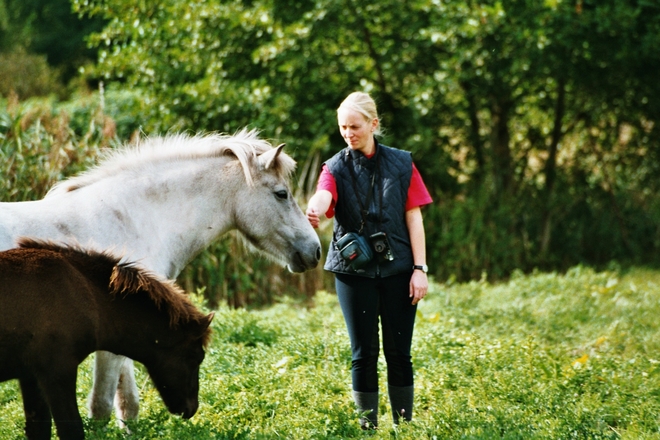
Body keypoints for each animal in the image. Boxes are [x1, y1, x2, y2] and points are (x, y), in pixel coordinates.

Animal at [0, 239, 214, 438]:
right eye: (196, 357)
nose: (191, 408)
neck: (86, 294)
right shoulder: (57, 372)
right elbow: (72, 429)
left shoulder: (30, 377)